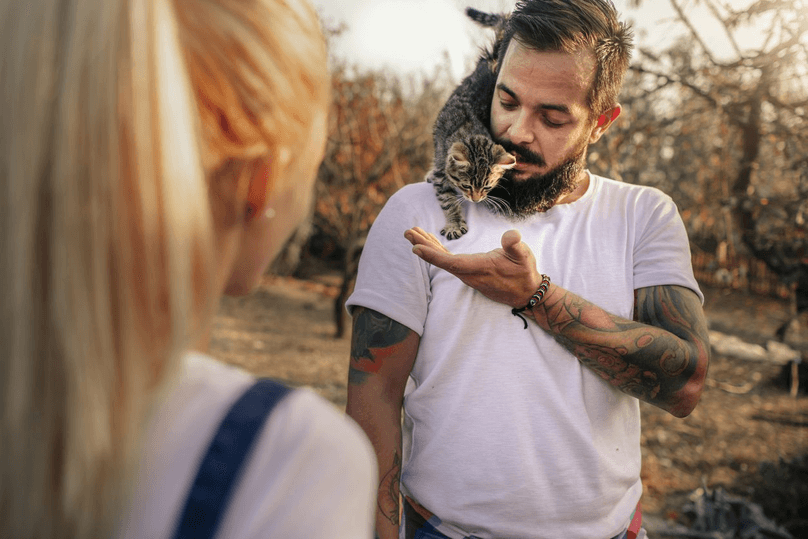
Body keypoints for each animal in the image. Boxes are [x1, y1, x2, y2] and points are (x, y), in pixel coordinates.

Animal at [426, 7, 516, 239]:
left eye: (486, 188)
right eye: (466, 185)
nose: (476, 199)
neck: (470, 130)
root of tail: (493, 59)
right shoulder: (442, 168)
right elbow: (447, 198)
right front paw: (455, 223)